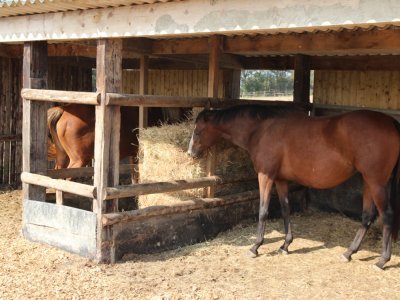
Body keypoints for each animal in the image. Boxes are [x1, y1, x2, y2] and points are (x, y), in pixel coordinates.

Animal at [188, 105, 400, 270]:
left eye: (198, 130)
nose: (191, 153)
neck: (261, 129)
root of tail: (391, 122)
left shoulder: (266, 176)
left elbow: (263, 211)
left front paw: (255, 247)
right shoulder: (281, 180)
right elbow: (285, 209)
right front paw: (285, 245)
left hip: (376, 182)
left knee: (387, 216)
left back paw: (382, 261)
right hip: (368, 181)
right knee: (367, 216)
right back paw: (348, 253)